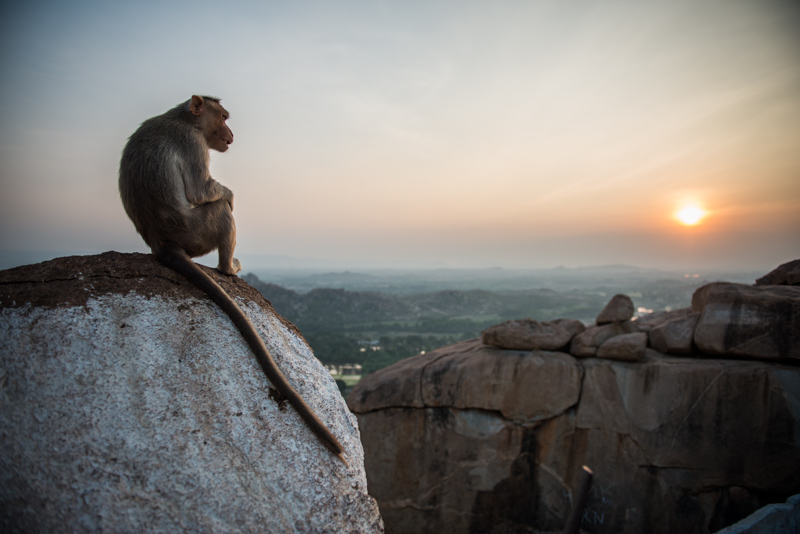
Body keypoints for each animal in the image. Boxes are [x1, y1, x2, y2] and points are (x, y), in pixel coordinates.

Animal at [119, 95, 346, 464]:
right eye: (223, 117)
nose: (231, 133)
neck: (183, 119)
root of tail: (161, 244)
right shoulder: (193, 144)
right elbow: (202, 191)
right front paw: (230, 192)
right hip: (198, 231)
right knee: (221, 210)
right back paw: (228, 266)